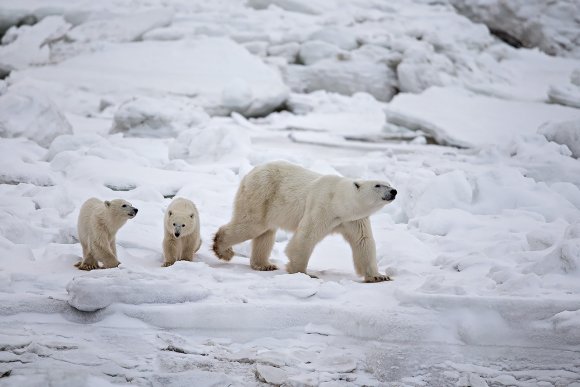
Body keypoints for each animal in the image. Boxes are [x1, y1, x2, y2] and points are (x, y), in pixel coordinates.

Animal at [213, 162, 398, 284]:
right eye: (378, 185)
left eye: (388, 184)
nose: (394, 191)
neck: (339, 202)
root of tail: (251, 172)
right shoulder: (322, 206)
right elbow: (306, 236)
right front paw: (303, 273)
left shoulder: (353, 220)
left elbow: (363, 242)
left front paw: (379, 276)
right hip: (261, 194)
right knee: (252, 225)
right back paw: (223, 250)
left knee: (265, 233)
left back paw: (264, 265)